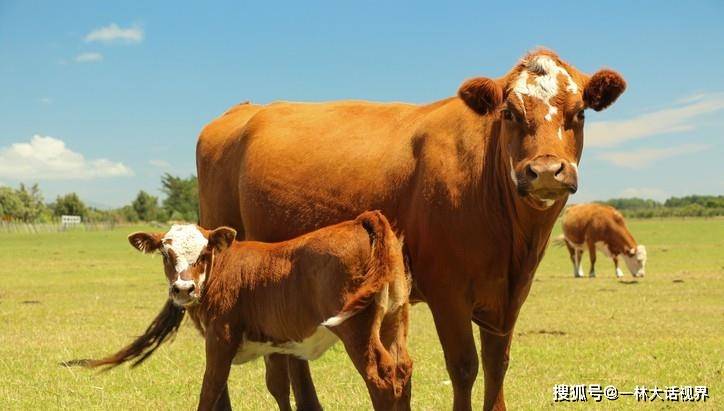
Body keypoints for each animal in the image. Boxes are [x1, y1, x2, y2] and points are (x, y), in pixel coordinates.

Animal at [78, 212, 412, 411]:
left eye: (204, 252)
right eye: (165, 252)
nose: (183, 289)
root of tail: (360, 221)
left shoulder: (220, 339)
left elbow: (211, 390)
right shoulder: (274, 344)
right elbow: (278, 387)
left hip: (357, 328)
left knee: (381, 377)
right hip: (394, 320)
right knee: (403, 371)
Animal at [195, 49, 624, 411]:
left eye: (580, 113)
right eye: (509, 113)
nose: (546, 171)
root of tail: (243, 111)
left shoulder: (509, 296)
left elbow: (497, 364)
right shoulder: (447, 292)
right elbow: (464, 365)